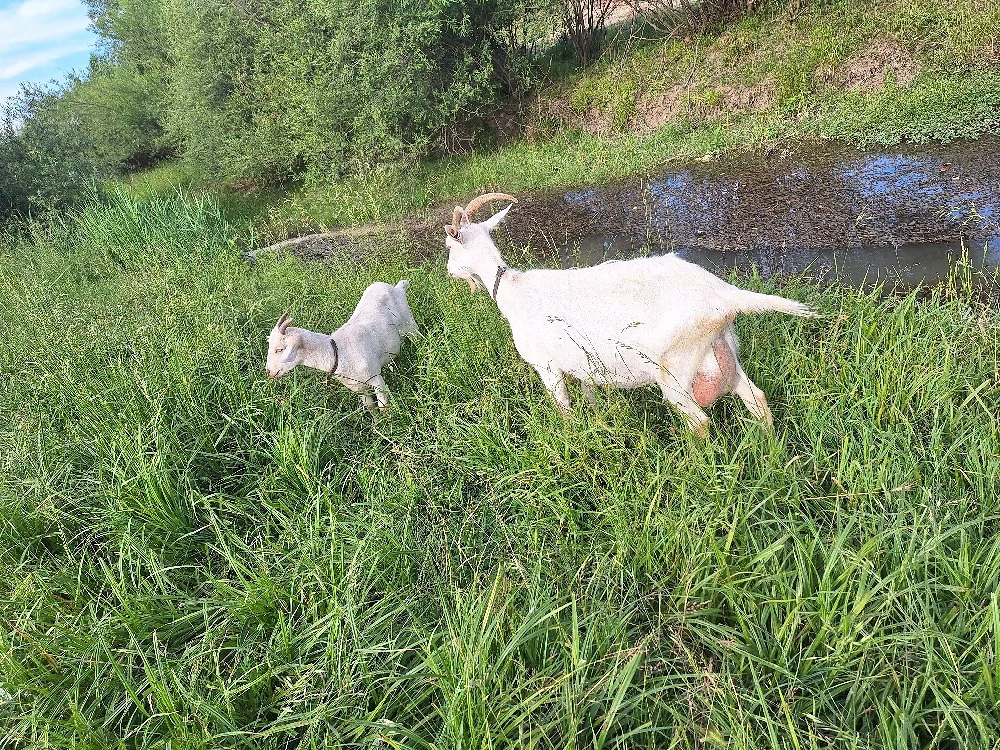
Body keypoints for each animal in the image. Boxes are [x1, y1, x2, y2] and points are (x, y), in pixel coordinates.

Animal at [266, 280, 418, 409]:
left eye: (279, 349)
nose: (269, 371)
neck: (339, 351)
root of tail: (397, 287)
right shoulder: (359, 388)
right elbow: (370, 407)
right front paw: (376, 423)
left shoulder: (376, 379)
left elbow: (383, 407)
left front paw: (388, 424)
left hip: (410, 324)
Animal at [444, 193, 815, 435]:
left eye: (449, 247)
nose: (448, 272)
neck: (511, 290)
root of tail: (724, 296)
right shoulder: (583, 365)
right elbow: (591, 397)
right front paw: (597, 424)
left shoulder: (547, 366)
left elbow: (564, 411)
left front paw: (572, 439)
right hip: (723, 351)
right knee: (757, 399)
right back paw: (770, 451)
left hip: (675, 369)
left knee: (700, 422)